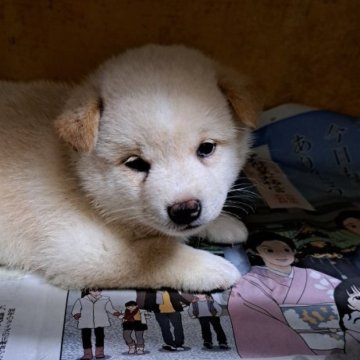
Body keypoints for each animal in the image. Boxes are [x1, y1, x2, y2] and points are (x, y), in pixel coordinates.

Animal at [0, 45, 260, 292]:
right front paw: (210, 266)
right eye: (135, 164)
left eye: (206, 148)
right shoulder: (82, 248)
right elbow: (154, 253)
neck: (75, 175)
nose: (185, 210)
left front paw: (223, 223)